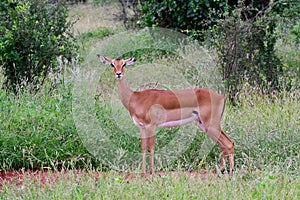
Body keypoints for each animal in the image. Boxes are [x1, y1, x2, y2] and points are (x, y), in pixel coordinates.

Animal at [98, 55, 234, 175]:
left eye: (124, 64)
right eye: (112, 64)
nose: (118, 74)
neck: (135, 98)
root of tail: (222, 97)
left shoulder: (151, 126)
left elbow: (151, 147)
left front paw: (152, 172)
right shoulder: (142, 127)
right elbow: (143, 148)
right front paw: (143, 172)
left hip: (211, 125)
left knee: (229, 143)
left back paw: (230, 172)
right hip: (204, 125)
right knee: (223, 145)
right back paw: (221, 170)